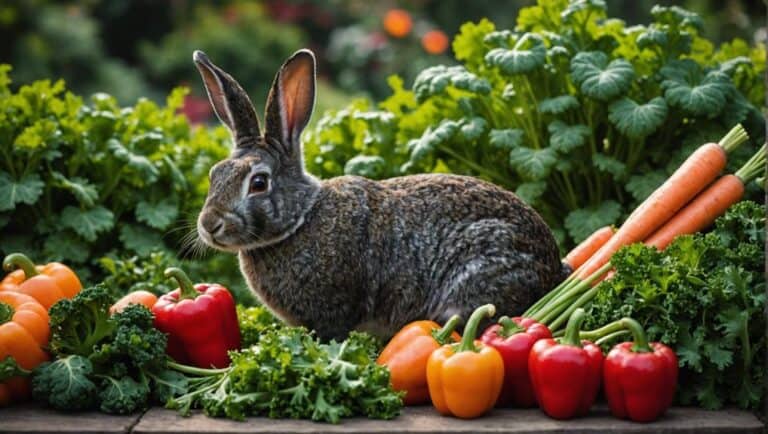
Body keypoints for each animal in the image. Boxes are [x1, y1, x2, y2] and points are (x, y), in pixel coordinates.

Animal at [192, 48, 568, 341]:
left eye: (258, 183)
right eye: (214, 174)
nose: (209, 225)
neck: (300, 220)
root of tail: (551, 269)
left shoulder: (333, 310)